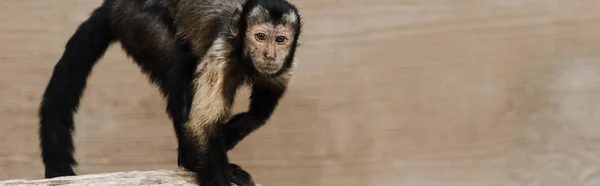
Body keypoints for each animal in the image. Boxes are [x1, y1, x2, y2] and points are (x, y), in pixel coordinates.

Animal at [38, 0, 302, 185]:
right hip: (139, 23)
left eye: (280, 40)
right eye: (260, 37)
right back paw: (189, 160)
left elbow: (259, 112)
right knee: (180, 75)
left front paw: (227, 137)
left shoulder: (285, 66)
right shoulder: (222, 55)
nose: (270, 55)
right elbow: (201, 127)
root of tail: (114, 4)